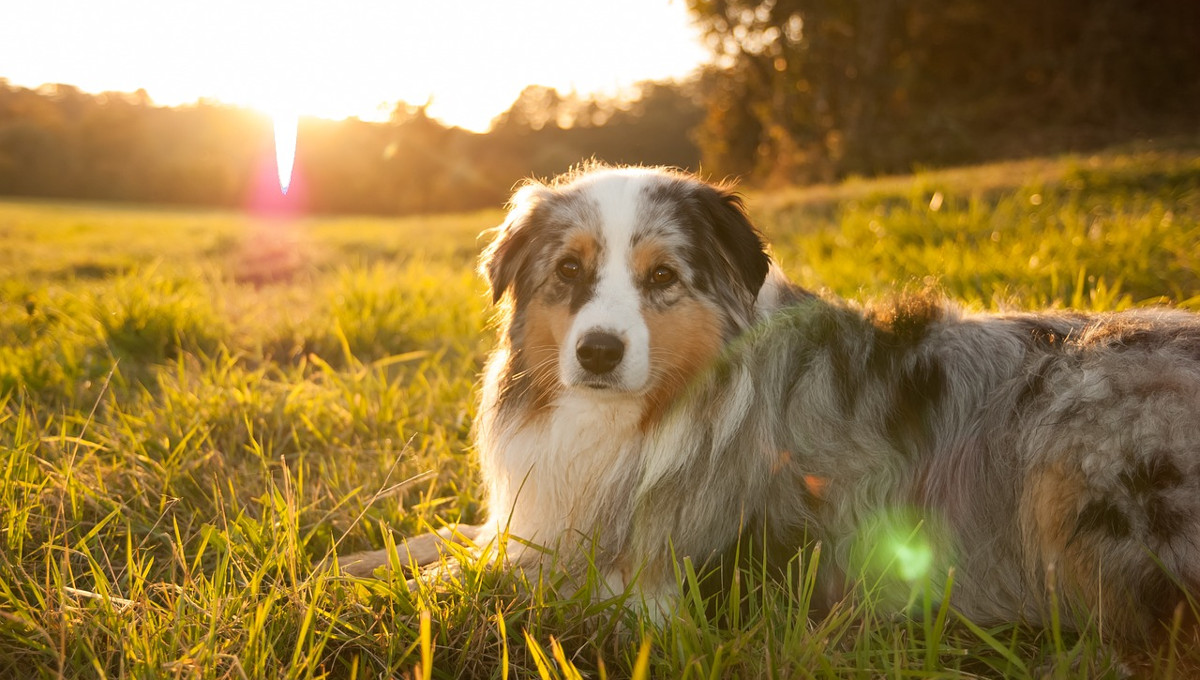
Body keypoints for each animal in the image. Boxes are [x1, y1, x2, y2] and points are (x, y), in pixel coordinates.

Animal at [340, 165, 1200, 666]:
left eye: (662, 277)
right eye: (569, 270)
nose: (598, 353)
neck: (638, 418)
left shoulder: (671, 588)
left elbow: (491, 578)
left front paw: (362, 602)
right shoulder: (538, 516)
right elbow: (447, 538)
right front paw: (342, 565)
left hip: (1073, 444)